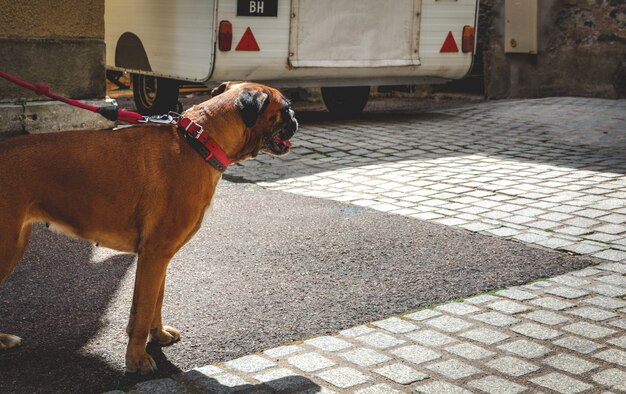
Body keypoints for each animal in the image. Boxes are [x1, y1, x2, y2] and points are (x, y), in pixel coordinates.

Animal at [0, 82, 296, 372]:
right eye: (286, 108)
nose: (295, 118)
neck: (199, 141)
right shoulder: (155, 255)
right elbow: (144, 310)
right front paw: (137, 359)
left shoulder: (158, 258)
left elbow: (155, 302)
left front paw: (158, 335)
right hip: (8, 249)